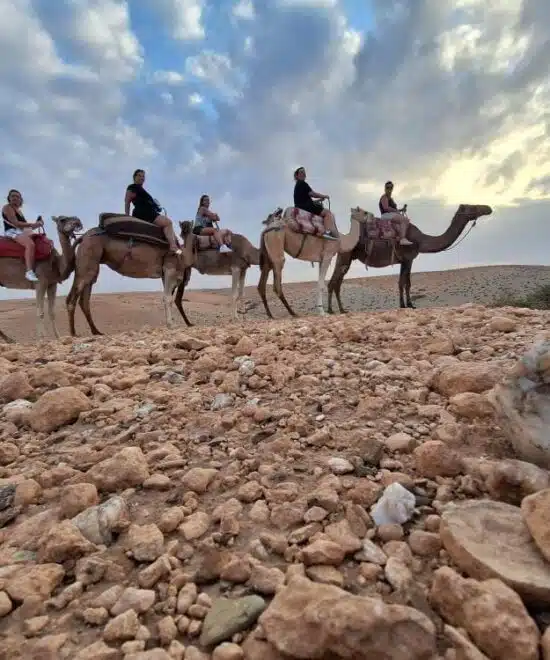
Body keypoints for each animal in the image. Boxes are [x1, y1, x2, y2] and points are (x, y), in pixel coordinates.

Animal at [67, 214, 197, 336]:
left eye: (188, 226)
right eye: (184, 226)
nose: (185, 231)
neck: (182, 256)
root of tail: (83, 236)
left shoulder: (165, 274)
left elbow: (168, 297)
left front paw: (173, 323)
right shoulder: (170, 269)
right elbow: (168, 298)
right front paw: (171, 325)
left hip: (90, 264)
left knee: (84, 300)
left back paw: (96, 331)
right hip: (88, 256)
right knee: (72, 298)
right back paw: (73, 333)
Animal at [328, 202, 496, 314]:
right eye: (472, 207)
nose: (488, 208)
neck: (421, 240)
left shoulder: (404, 260)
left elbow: (402, 282)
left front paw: (404, 304)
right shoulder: (409, 258)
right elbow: (406, 283)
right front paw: (409, 305)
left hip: (346, 258)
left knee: (337, 282)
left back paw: (342, 309)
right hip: (345, 256)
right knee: (333, 282)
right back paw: (331, 310)